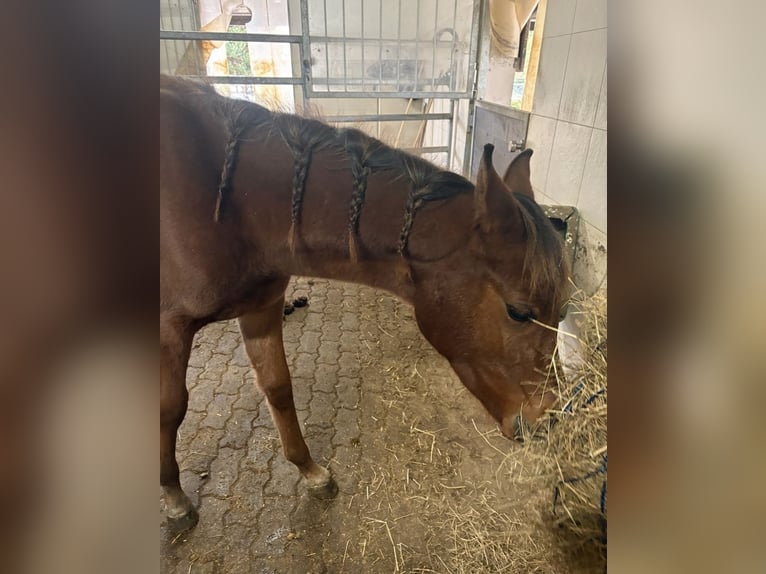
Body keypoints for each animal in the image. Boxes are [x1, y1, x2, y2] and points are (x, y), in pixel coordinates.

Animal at [160, 74, 569, 532]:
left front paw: (311, 471)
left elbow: (278, 388)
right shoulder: (168, 329)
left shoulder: (261, 307)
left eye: (564, 311)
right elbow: (170, 409)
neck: (232, 202)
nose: (547, 420)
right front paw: (175, 498)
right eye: (519, 311)